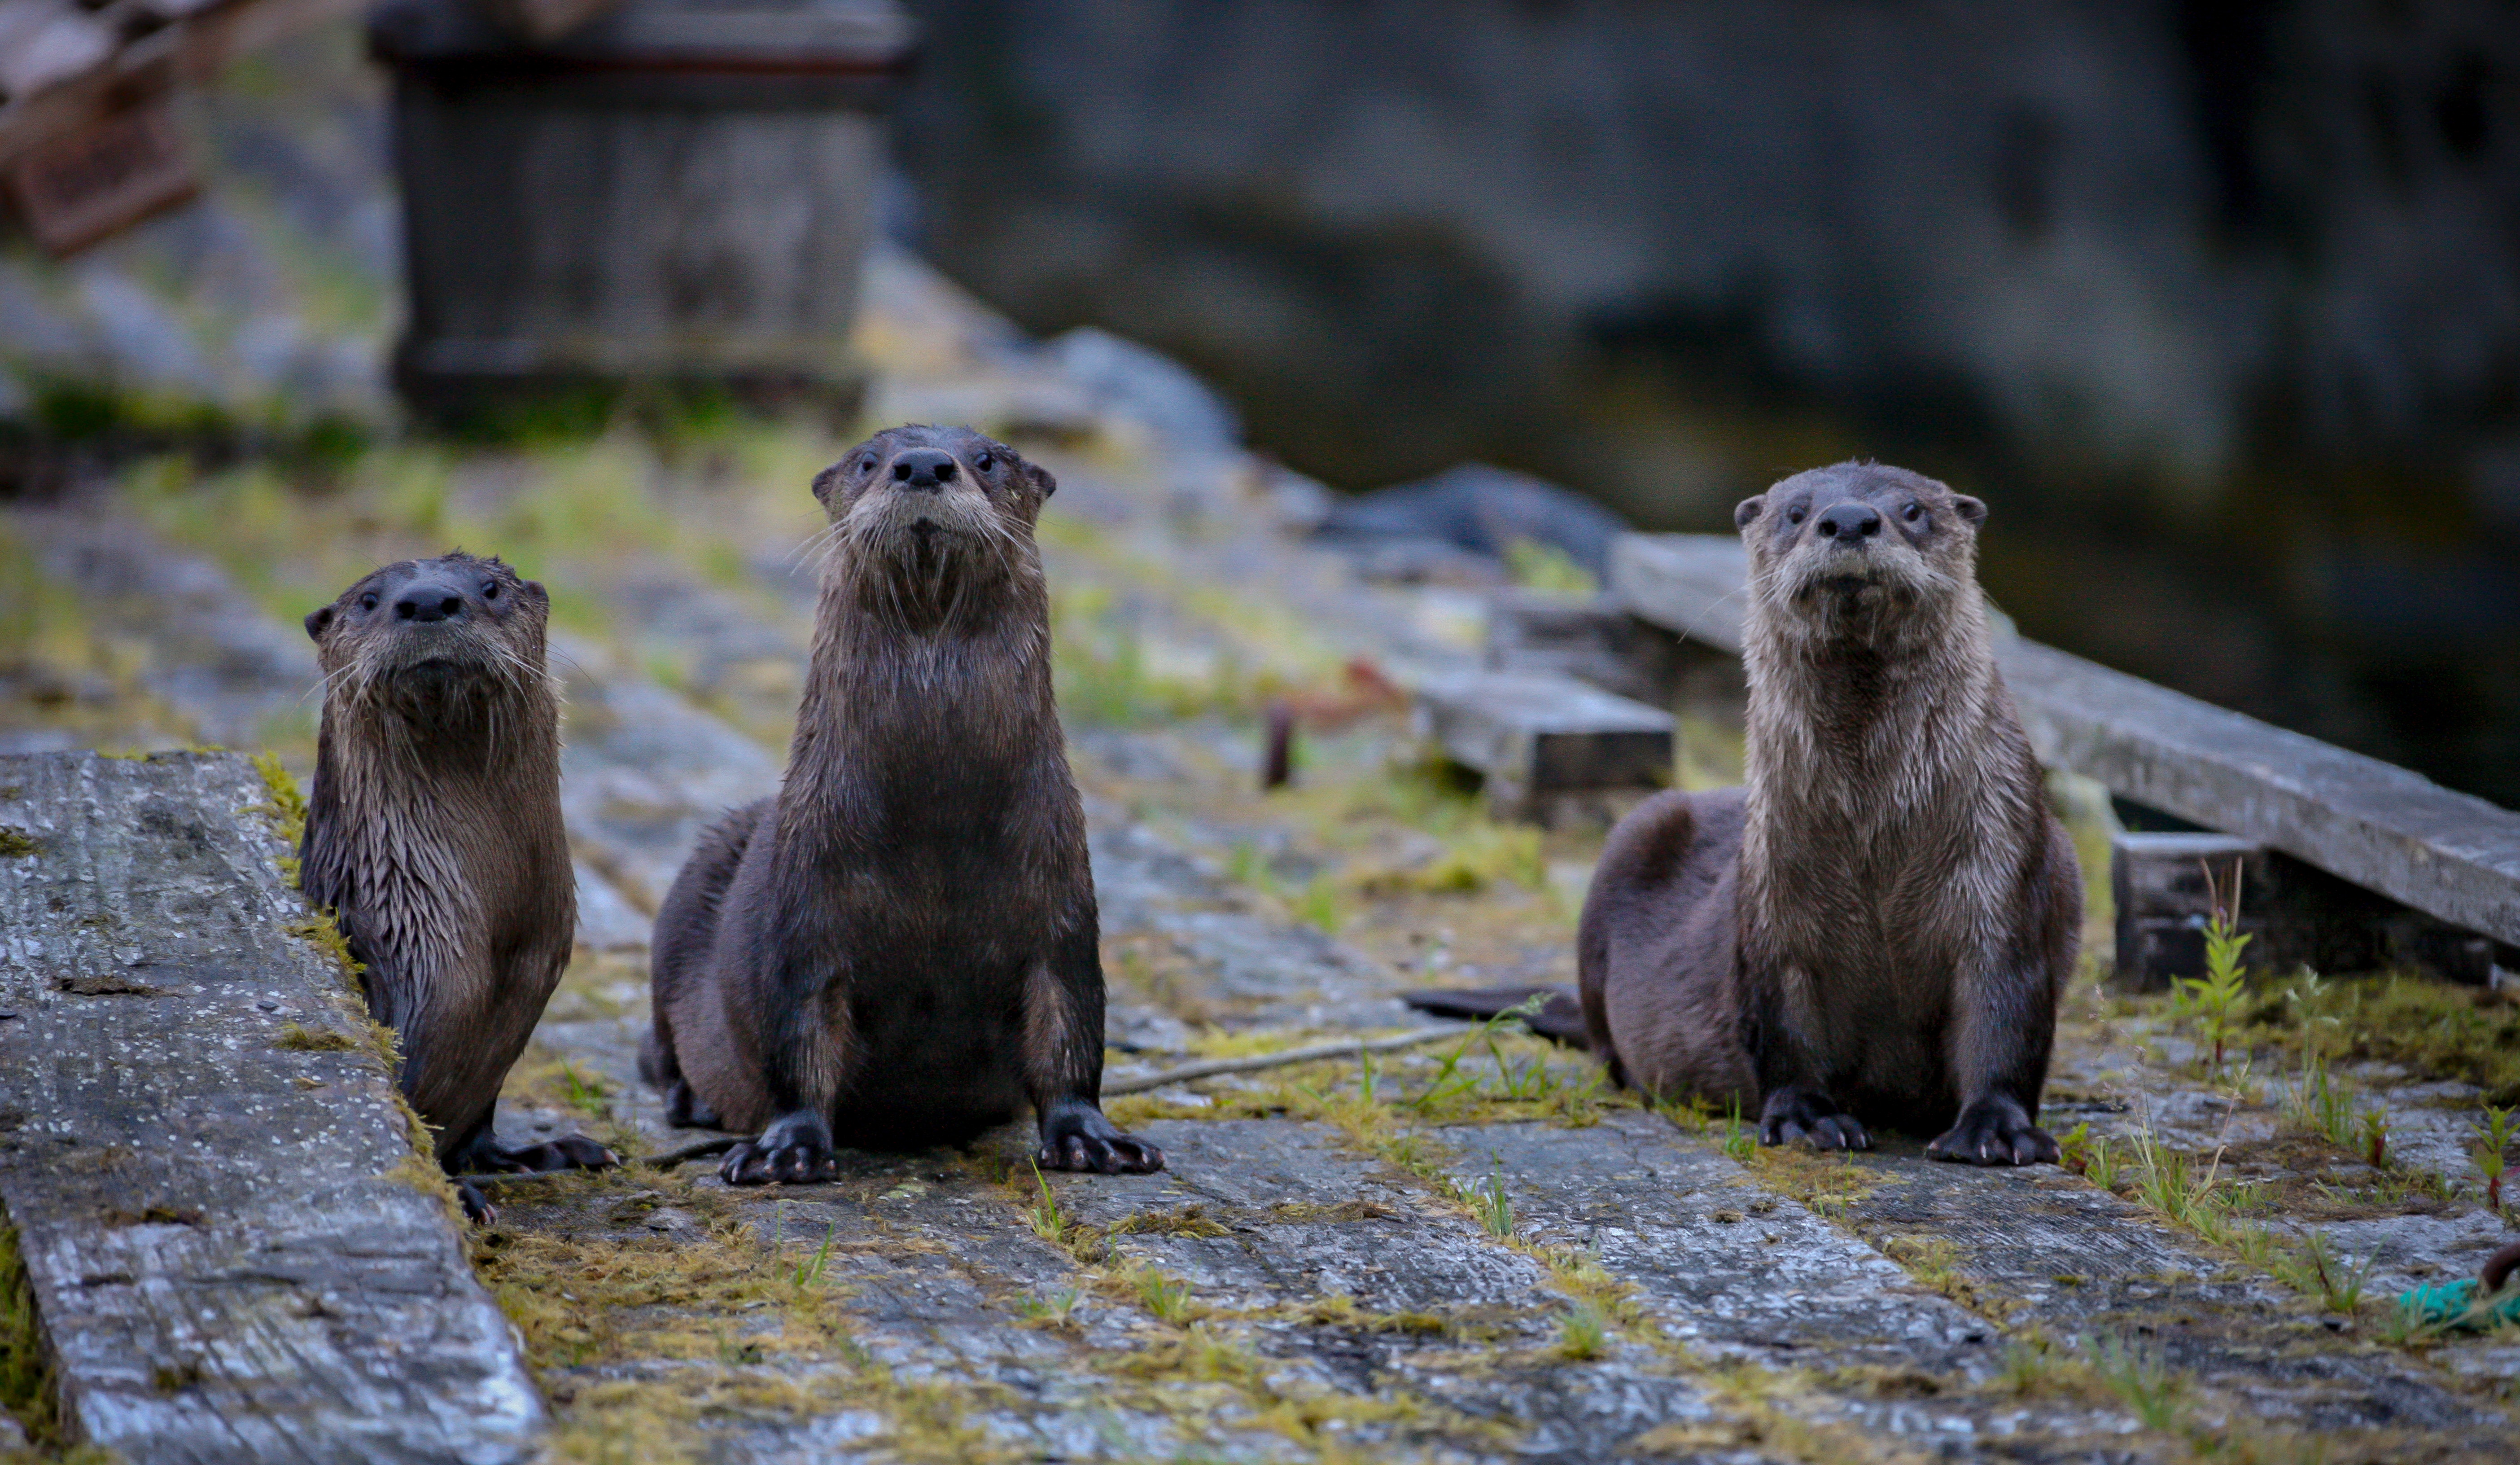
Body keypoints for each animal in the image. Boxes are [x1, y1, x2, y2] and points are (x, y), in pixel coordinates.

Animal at [302, 552, 612, 1218]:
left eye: (490, 588)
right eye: (369, 600)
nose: (426, 601)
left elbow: (476, 1121)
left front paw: (536, 1154)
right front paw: (460, 1196)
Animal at [642, 425, 1163, 1184]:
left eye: (987, 460)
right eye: (869, 461)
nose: (922, 464)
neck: (935, 822)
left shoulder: (1061, 895)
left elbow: (1072, 1028)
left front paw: (1089, 1137)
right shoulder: (805, 903)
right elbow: (797, 1035)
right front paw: (786, 1148)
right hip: (688, 894)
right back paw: (693, 1101)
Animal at [1579, 462, 2080, 1165]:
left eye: (1912, 509)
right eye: (1795, 512)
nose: (1846, 520)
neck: (1875, 839)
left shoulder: (2003, 869)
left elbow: (2005, 1012)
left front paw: (1995, 1128)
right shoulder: (1774, 898)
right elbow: (1784, 1025)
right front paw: (1807, 1119)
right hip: (1631, 839)